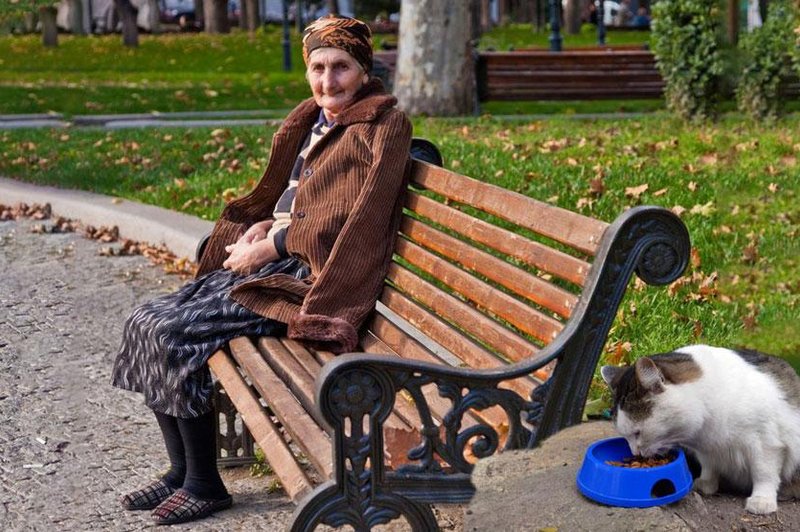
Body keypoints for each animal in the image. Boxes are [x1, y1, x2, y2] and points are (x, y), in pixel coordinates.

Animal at [600, 344, 800, 516]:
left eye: (637, 433)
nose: (636, 453)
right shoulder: (706, 448)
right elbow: (708, 466)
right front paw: (706, 484)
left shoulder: (765, 444)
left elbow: (763, 472)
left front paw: (762, 500)